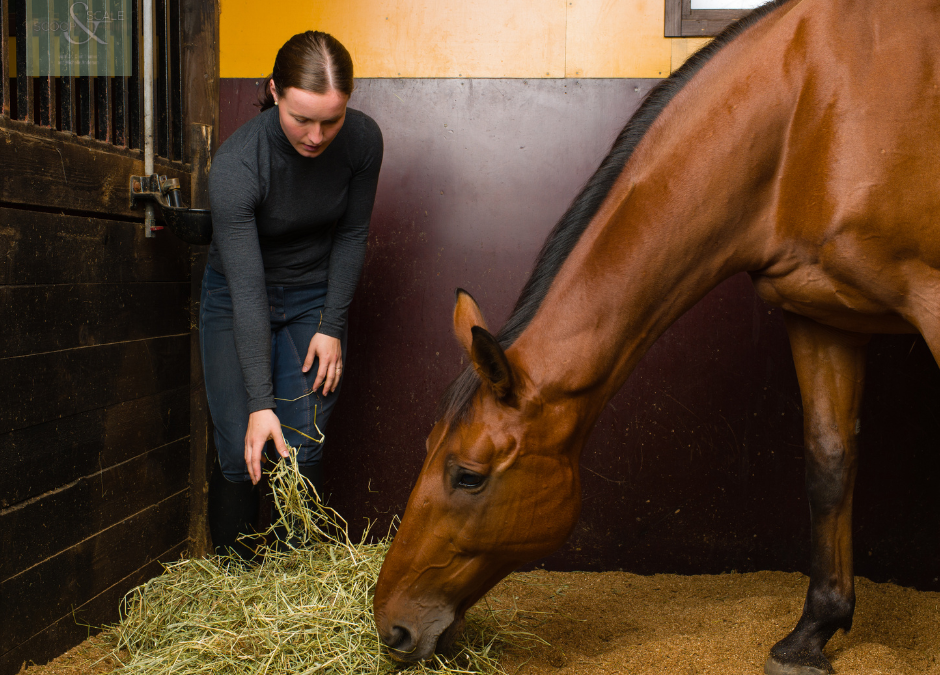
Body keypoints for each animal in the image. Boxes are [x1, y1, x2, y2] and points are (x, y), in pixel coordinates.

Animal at [370, 1, 936, 675]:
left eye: (469, 476)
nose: (391, 625)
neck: (809, 113)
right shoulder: (822, 316)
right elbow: (829, 463)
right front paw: (811, 634)